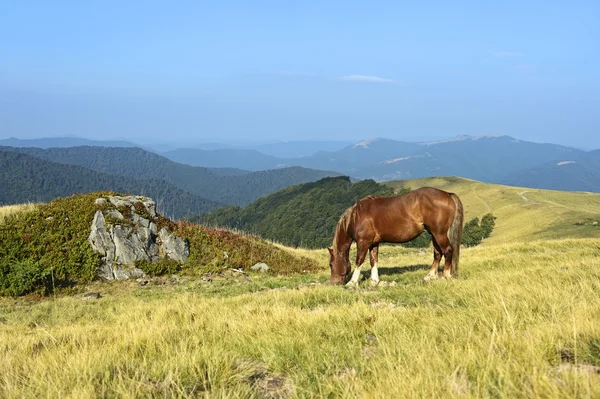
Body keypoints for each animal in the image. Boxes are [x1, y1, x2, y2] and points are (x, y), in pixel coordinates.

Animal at [328, 186, 464, 286]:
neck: (357, 216)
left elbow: (359, 260)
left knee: (448, 250)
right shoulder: (374, 243)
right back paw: (429, 276)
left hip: (439, 233)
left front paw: (352, 282)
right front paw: (374, 281)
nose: (334, 283)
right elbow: (373, 260)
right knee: (437, 253)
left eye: (330, 264)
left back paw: (445, 275)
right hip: (434, 234)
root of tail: (447, 194)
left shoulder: (363, 242)